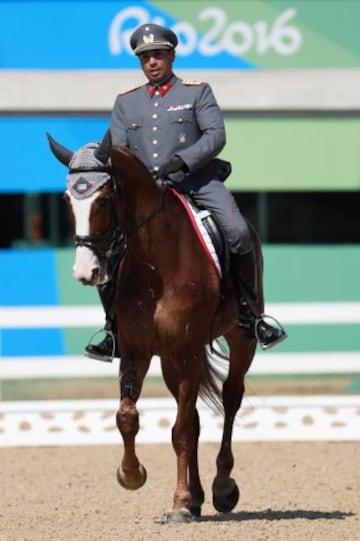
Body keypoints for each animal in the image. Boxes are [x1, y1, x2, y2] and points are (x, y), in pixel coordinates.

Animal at [47, 132, 264, 524]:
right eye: (68, 199)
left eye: (105, 198)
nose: (86, 272)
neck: (155, 265)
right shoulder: (137, 352)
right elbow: (127, 417)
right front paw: (132, 475)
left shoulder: (190, 351)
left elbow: (180, 431)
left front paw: (178, 503)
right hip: (169, 360)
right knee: (193, 415)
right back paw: (197, 498)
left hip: (240, 340)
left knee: (230, 398)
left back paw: (222, 489)